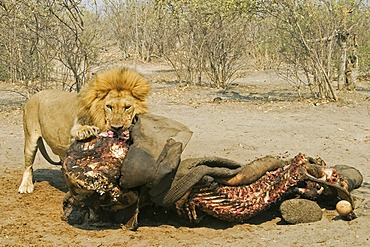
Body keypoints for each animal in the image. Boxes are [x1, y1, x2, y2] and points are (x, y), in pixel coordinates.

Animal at [18, 67, 151, 193]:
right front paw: (86, 131)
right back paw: (25, 186)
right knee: (28, 166)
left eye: (127, 107)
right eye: (109, 107)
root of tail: (33, 96)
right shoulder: (73, 132)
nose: (116, 128)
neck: (100, 118)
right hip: (30, 138)